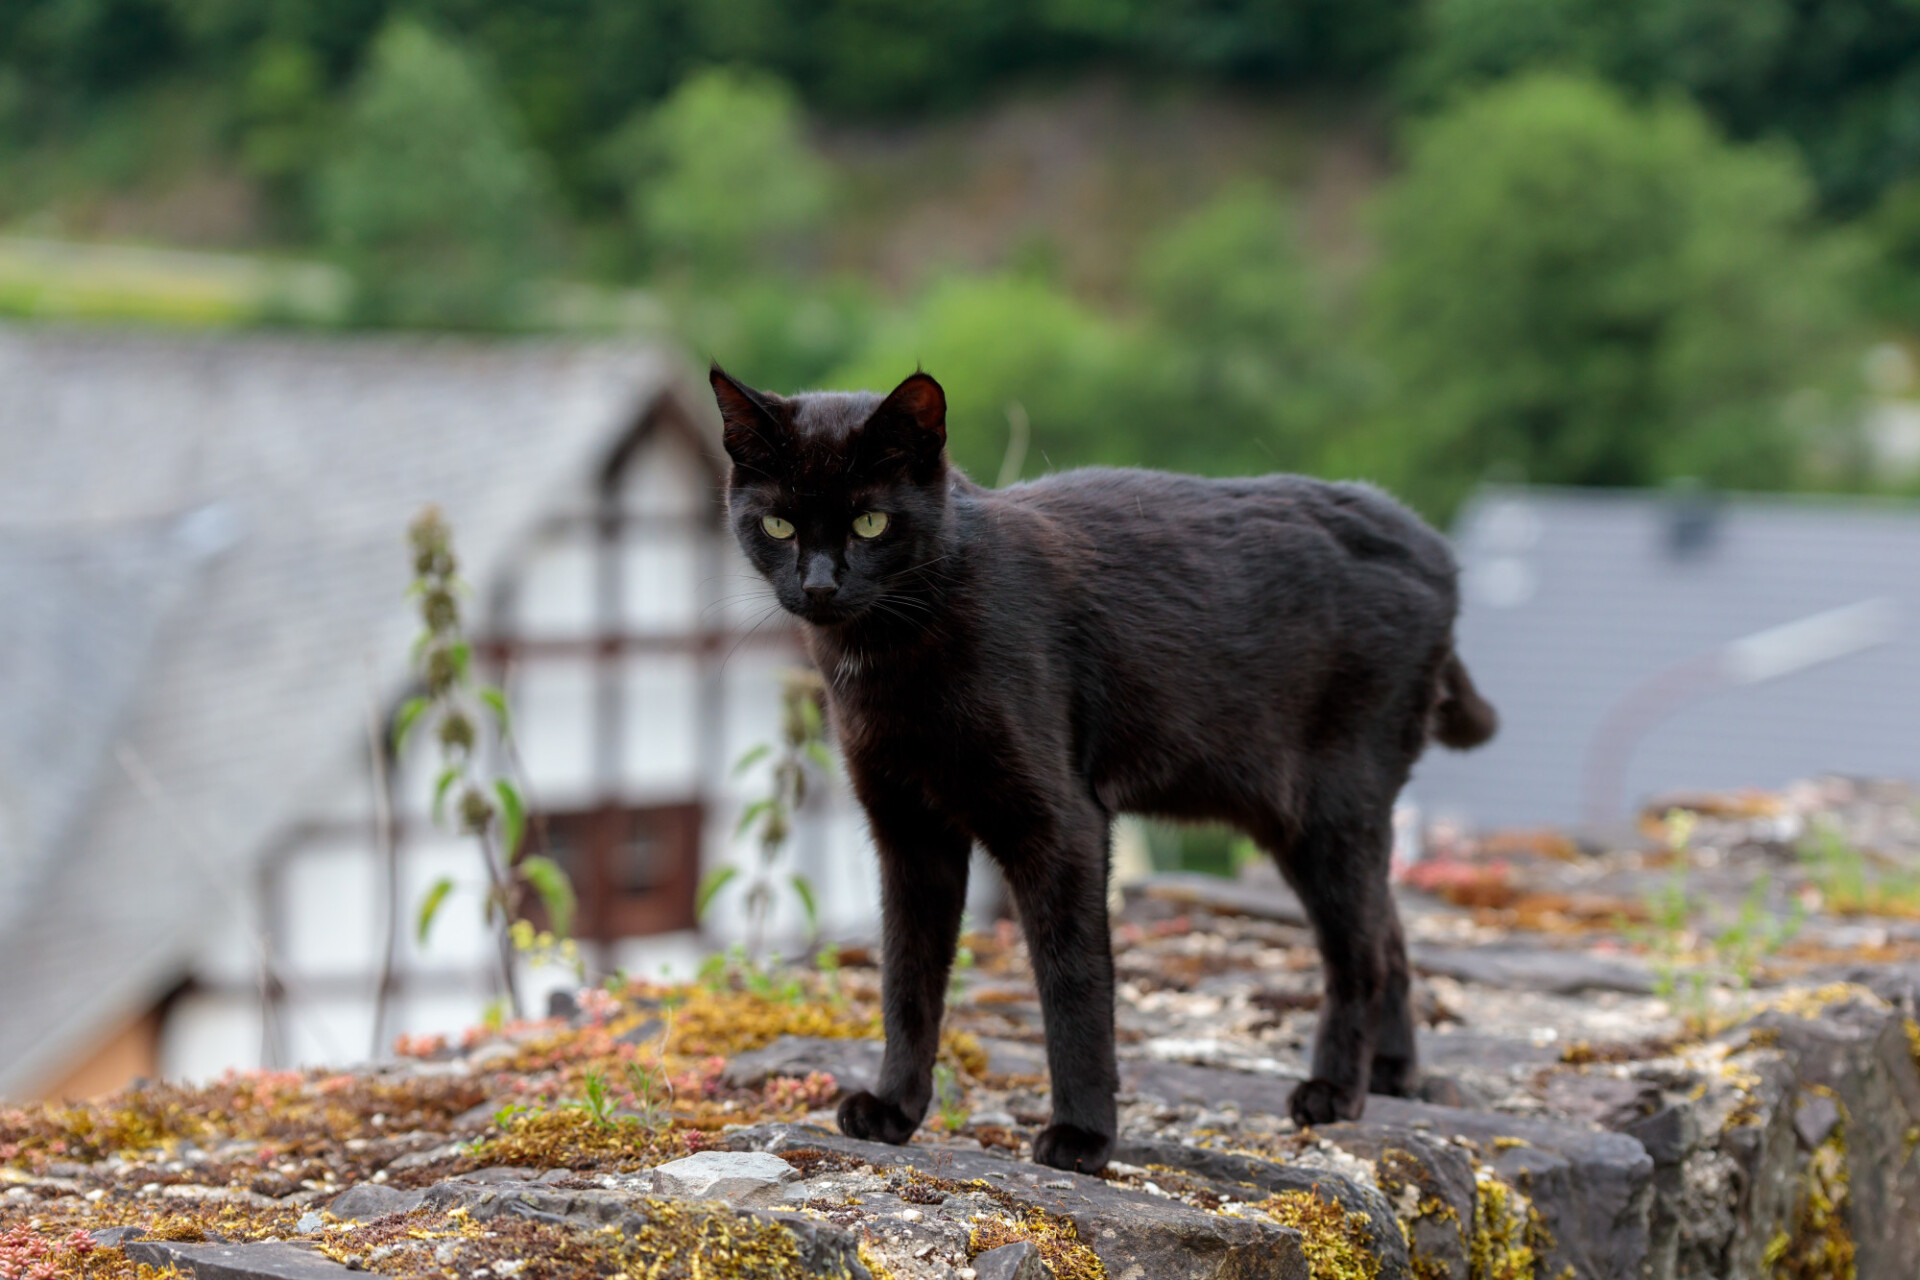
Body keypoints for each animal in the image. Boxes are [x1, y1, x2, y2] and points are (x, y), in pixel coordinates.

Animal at [714, 360, 1489, 1174]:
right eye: (778, 525)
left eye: (870, 523)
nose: (820, 585)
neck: (893, 650)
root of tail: (1433, 549)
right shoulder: (910, 832)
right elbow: (906, 976)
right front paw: (896, 1109)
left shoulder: (1064, 824)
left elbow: (1073, 979)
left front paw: (1083, 1135)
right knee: (1387, 929)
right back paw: (1392, 1075)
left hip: (1329, 805)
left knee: (1359, 953)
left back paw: (1336, 1092)